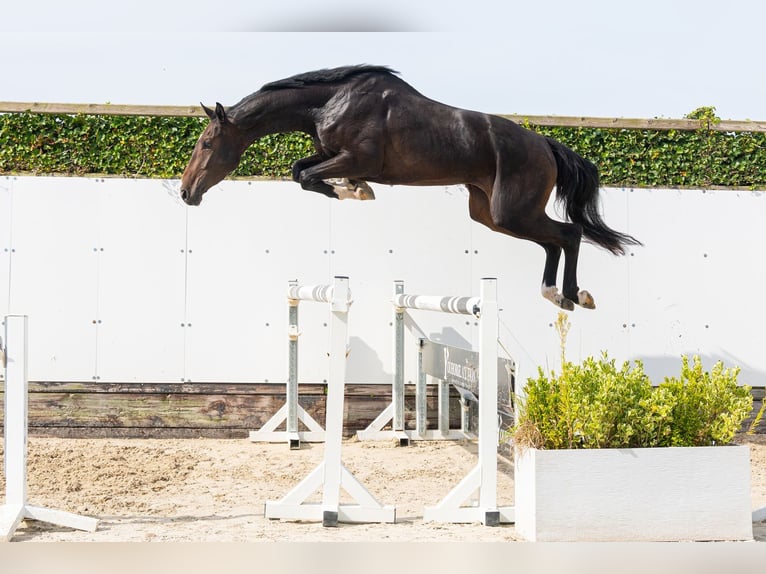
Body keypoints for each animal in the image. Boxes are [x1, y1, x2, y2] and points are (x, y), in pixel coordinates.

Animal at [180, 65, 640, 310]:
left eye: (207, 143)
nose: (186, 192)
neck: (328, 102)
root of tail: (545, 143)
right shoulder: (330, 153)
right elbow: (299, 170)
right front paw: (352, 189)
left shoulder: (358, 157)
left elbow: (309, 177)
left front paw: (354, 191)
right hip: (492, 214)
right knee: (552, 240)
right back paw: (554, 294)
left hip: (511, 210)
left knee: (570, 233)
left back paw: (573, 295)